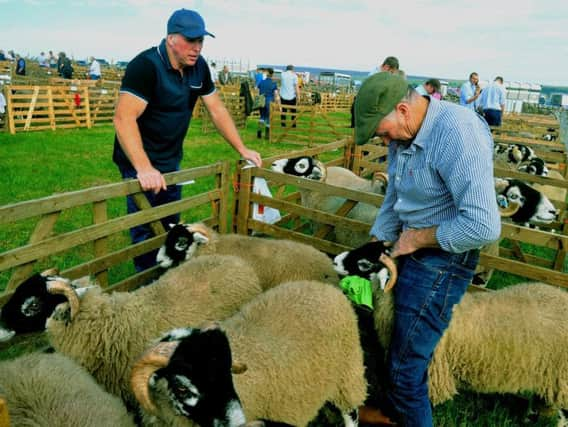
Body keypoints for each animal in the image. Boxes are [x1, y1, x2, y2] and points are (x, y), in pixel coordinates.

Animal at [130, 280, 386, 426]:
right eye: (182, 388)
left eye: (227, 373)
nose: (237, 425)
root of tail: (326, 288)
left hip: (347, 372)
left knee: (351, 412)